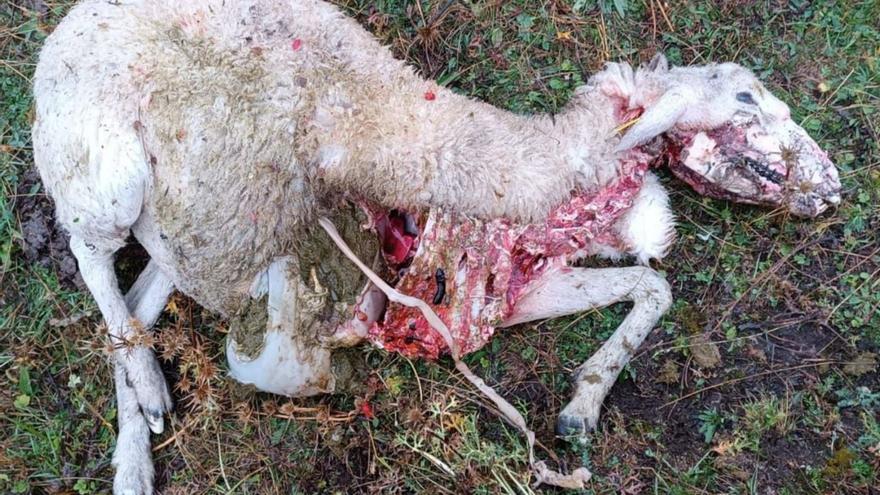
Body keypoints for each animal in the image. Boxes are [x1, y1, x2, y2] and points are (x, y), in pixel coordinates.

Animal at [31, 0, 841, 492]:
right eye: (747, 98)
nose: (833, 187)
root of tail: (67, 27)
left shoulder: (502, 295)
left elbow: (654, 285)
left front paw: (582, 406)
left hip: (169, 221)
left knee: (142, 290)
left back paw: (141, 427)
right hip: (98, 168)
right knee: (92, 254)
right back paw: (143, 404)